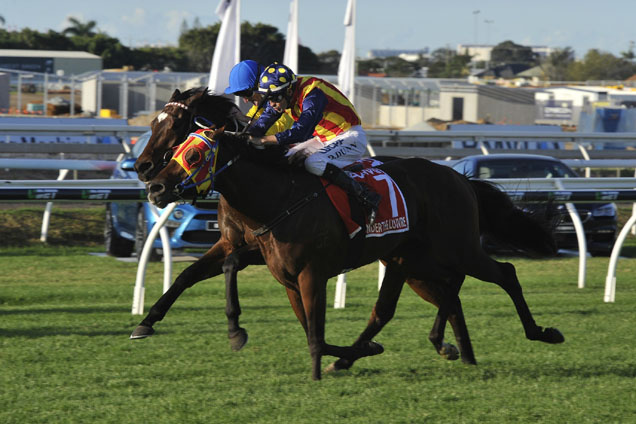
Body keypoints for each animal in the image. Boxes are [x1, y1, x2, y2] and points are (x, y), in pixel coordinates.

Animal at [143, 127, 560, 380]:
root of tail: (459, 177)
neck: (278, 198)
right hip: (410, 263)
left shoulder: (311, 273)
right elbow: (306, 323)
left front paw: (313, 370)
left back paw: (540, 332)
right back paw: (452, 351)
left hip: (457, 249)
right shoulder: (280, 272)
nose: (153, 185)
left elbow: (314, 328)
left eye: (194, 155)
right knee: (416, 302)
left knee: (502, 273)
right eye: (177, 148)